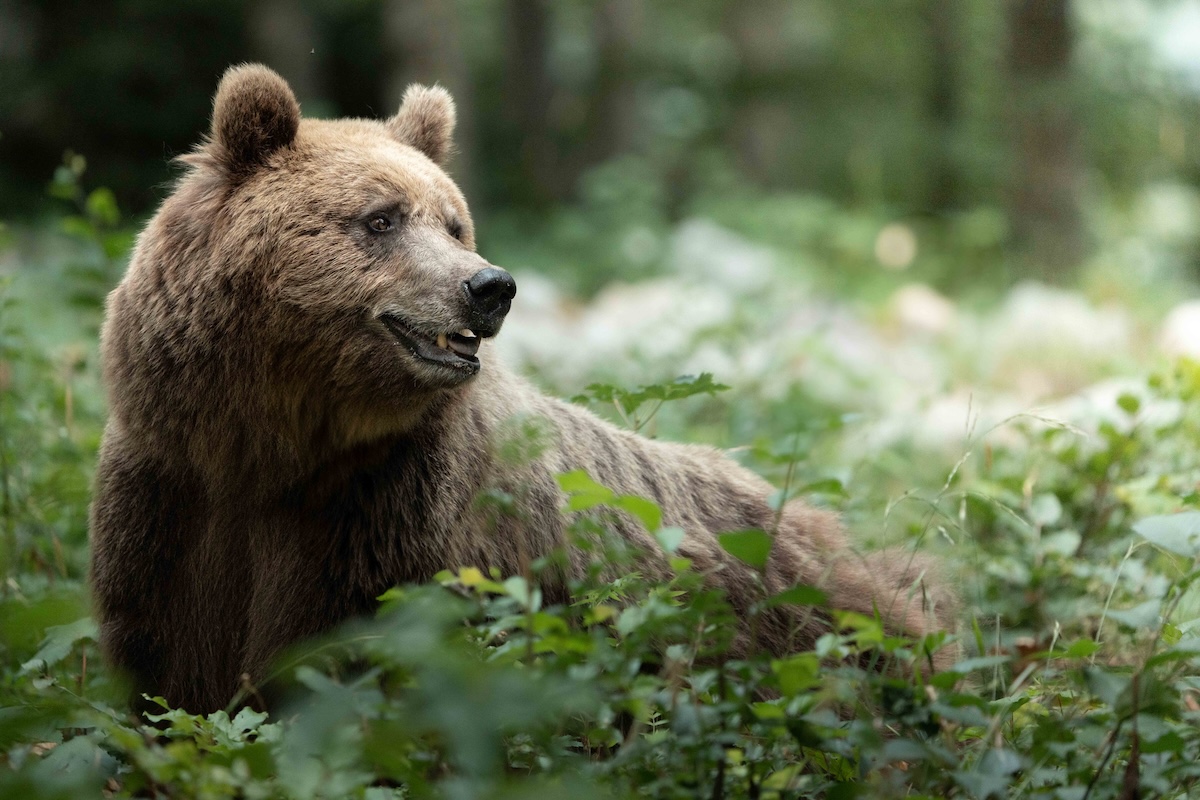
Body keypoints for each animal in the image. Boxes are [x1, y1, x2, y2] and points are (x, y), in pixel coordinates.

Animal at [90, 64, 954, 715]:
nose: (489, 286)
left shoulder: (387, 518)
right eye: (380, 218)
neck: (273, 443)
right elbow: (164, 670)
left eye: (453, 222)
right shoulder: (169, 499)